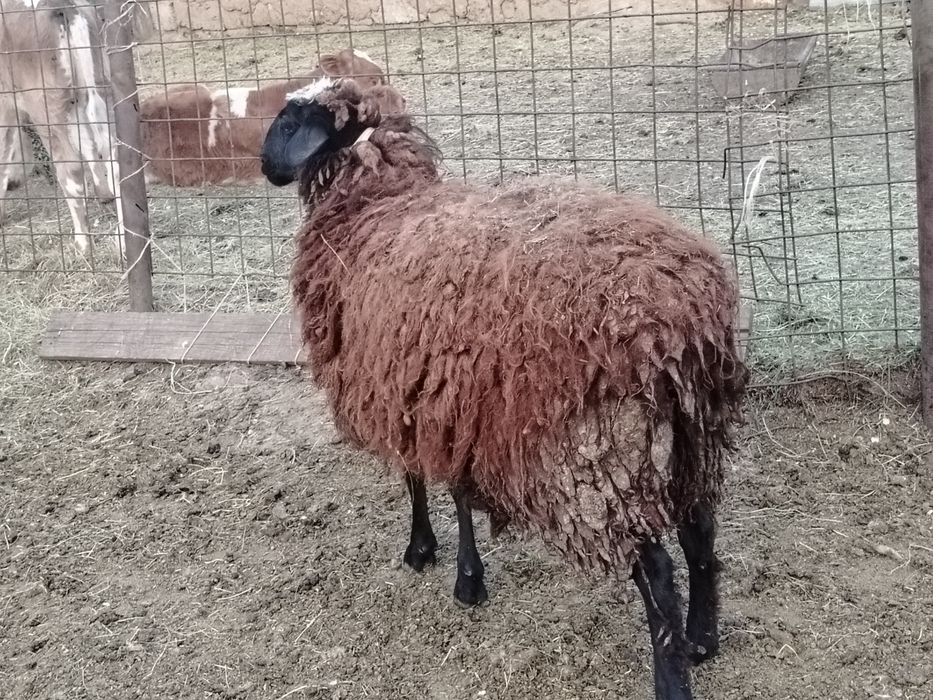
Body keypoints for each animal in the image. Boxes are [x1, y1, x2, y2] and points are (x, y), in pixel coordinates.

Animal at [0, 0, 153, 252]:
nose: (14, 184)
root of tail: (64, 7)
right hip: (103, 91)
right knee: (116, 165)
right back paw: (123, 240)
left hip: (49, 108)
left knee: (71, 173)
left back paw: (82, 242)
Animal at [260, 77, 747, 700]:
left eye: (290, 120)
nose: (263, 163)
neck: (376, 206)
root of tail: (681, 317)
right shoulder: (453, 398)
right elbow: (459, 490)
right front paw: (467, 577)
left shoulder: (400, 389)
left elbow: (417, 478)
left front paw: (425, 553)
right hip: (690, 433)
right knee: (701, 533)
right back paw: (703, 639)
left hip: (596, 451)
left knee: (657, 569)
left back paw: (672, 678)